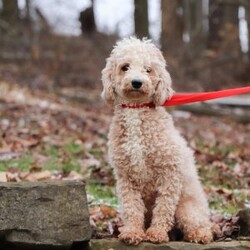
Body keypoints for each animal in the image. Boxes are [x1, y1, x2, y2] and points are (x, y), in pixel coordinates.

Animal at [101, 38, 213, 245]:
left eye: (148, 69)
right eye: (125, 67)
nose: (137, 82)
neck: (137, 110)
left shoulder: (170, 173)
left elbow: (163, 207)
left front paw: (157, 233)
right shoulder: (126, 177)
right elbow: (132, 208)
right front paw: (133, 232)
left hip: (187, 209)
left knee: (201, 226)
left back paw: (199, 234)